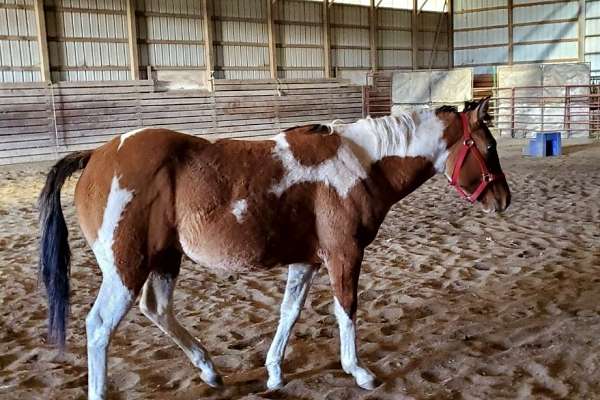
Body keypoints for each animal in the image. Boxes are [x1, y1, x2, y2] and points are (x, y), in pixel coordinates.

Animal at [37, 96, 508, 396]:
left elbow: (289, 312)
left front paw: (275, 374)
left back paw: (210, 371)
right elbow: (346, 310)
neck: (361, 163)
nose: (503, 199)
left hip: (164, 260)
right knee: (100, 327)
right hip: (126, 268)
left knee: (157, 310)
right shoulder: (344, 255)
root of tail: (96, 156)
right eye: (488, 146)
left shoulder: (307, 261)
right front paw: (359, 372)